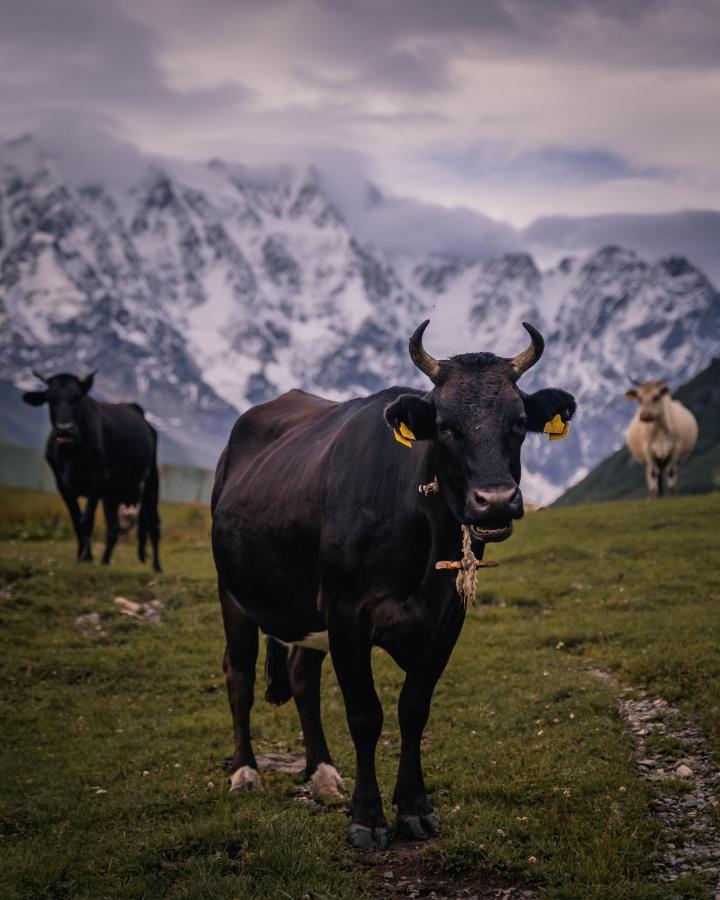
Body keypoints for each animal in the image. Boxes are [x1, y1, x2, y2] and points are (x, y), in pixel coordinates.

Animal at [22, 370, 162, 568]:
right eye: (50, 399)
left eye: (76, 398)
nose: (65, 430)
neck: (72, 454)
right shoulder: (63, 485)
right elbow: (77, 520)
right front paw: (80, 555)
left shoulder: (97, 481)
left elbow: (86, 520)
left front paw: (87, 556)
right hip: (112, 495)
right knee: (114, 528)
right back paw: (104, 561)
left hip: (151, 484)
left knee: (153, 526)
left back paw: (156, 566)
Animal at [211, 324, 576, 852]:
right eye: (445, 425)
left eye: (520, 421)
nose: (495, 501)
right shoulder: (346, 614)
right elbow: (366, 715)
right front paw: (367, 819)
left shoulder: (445, 621)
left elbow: (413, 710)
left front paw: (415, 809)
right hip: (233, 593)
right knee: (238, 674)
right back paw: (245, 772)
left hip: (305, 611)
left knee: (302, 676)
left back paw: (322, 773)